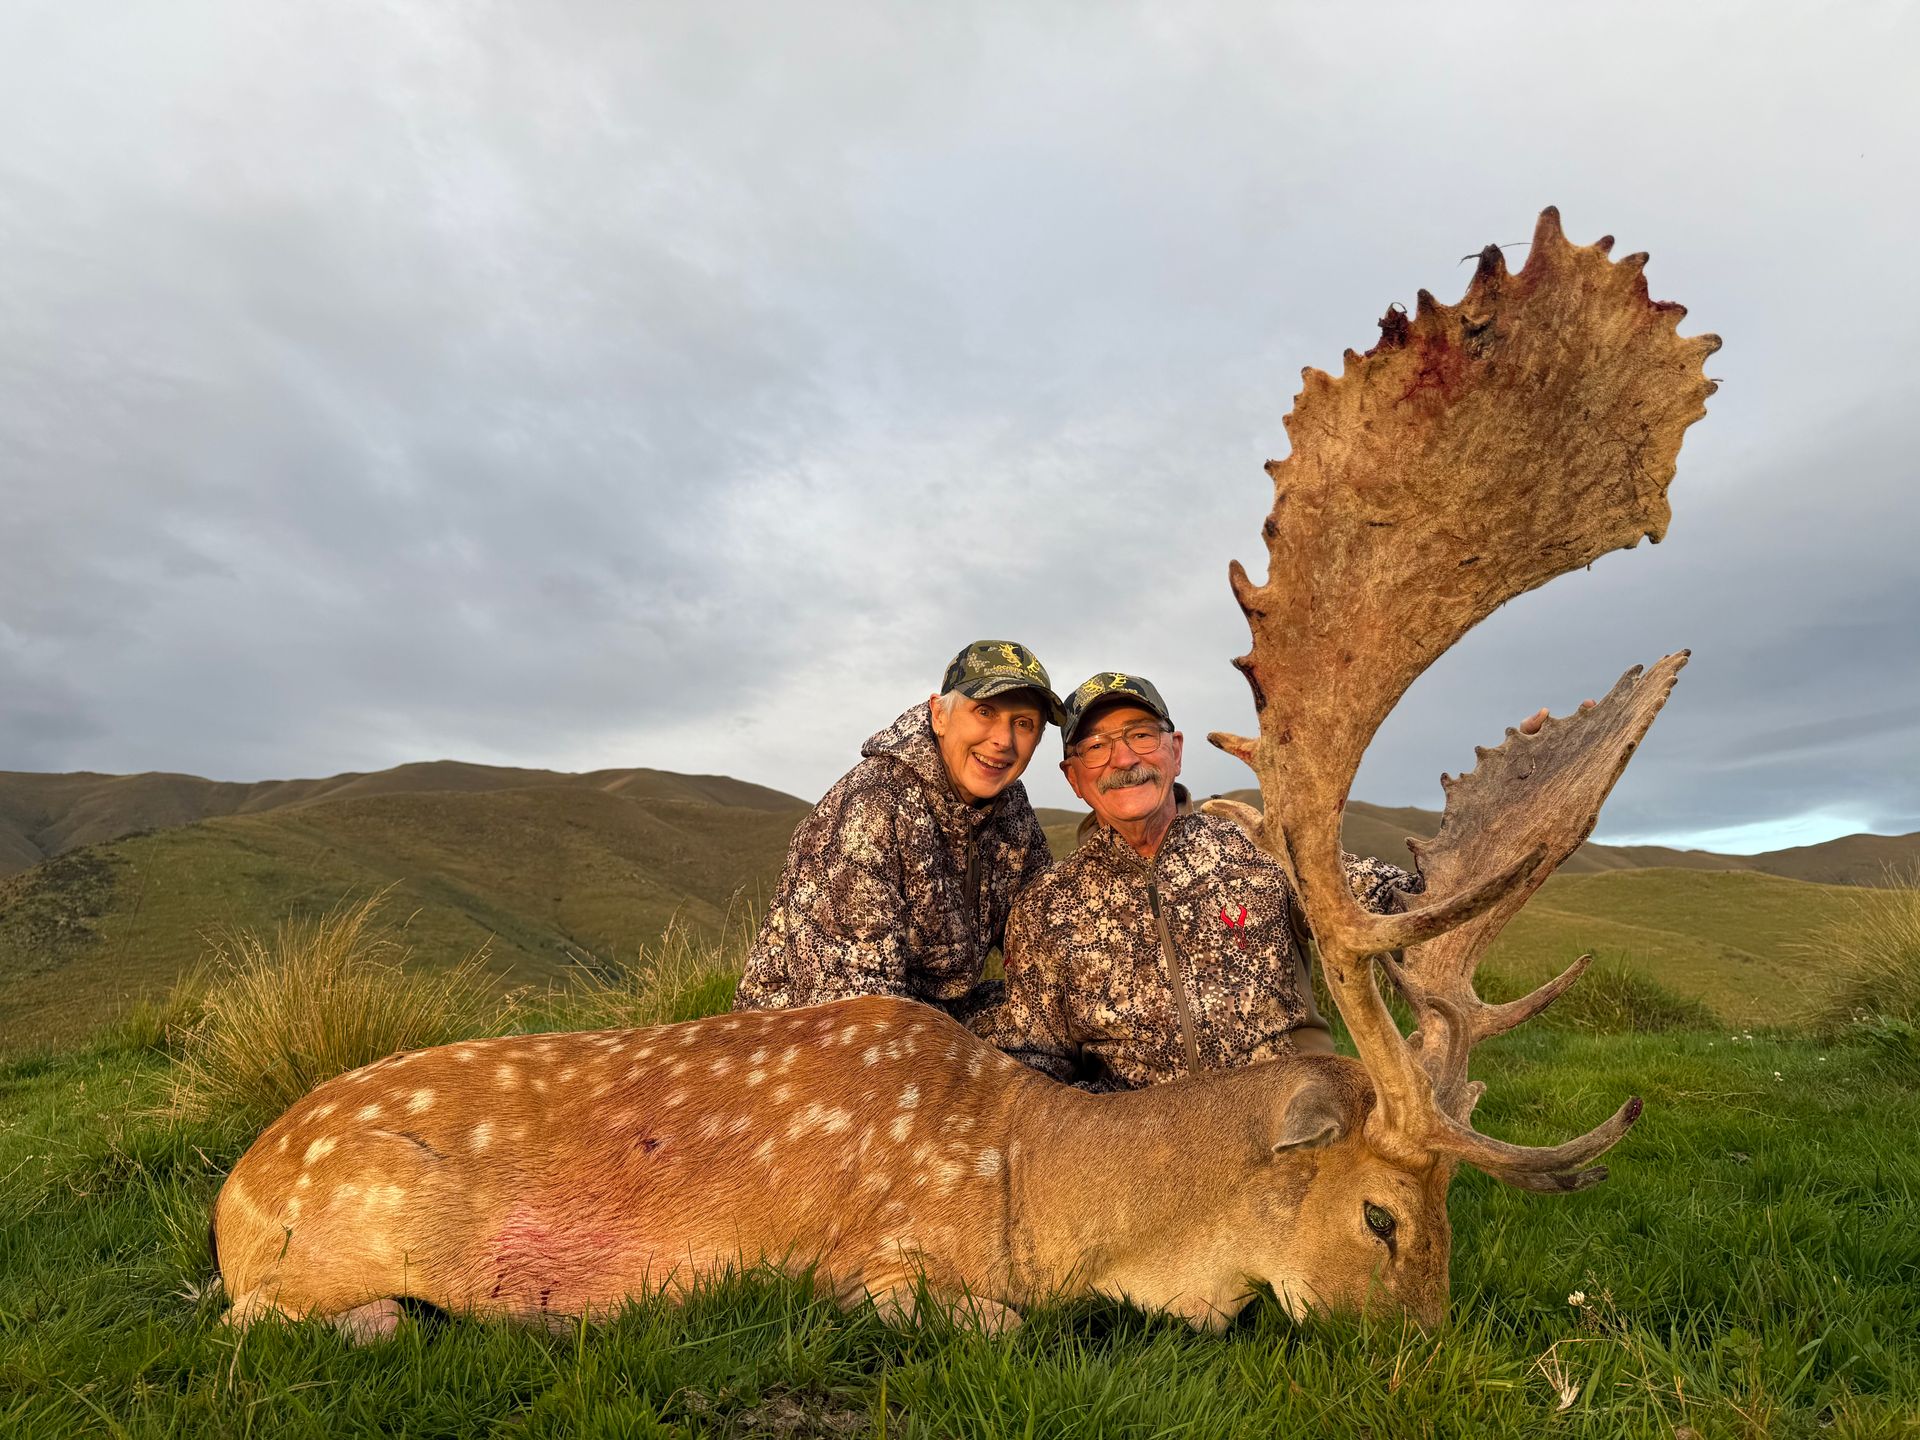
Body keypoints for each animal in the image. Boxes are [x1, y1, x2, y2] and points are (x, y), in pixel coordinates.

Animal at [212, 206, 1720, 1338]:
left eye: (1453, 1223)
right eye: (1382, 1213)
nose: (1430, 1349)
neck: (1031, 1189)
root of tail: (232, 1189)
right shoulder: (879, 1264)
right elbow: (980, 1318)